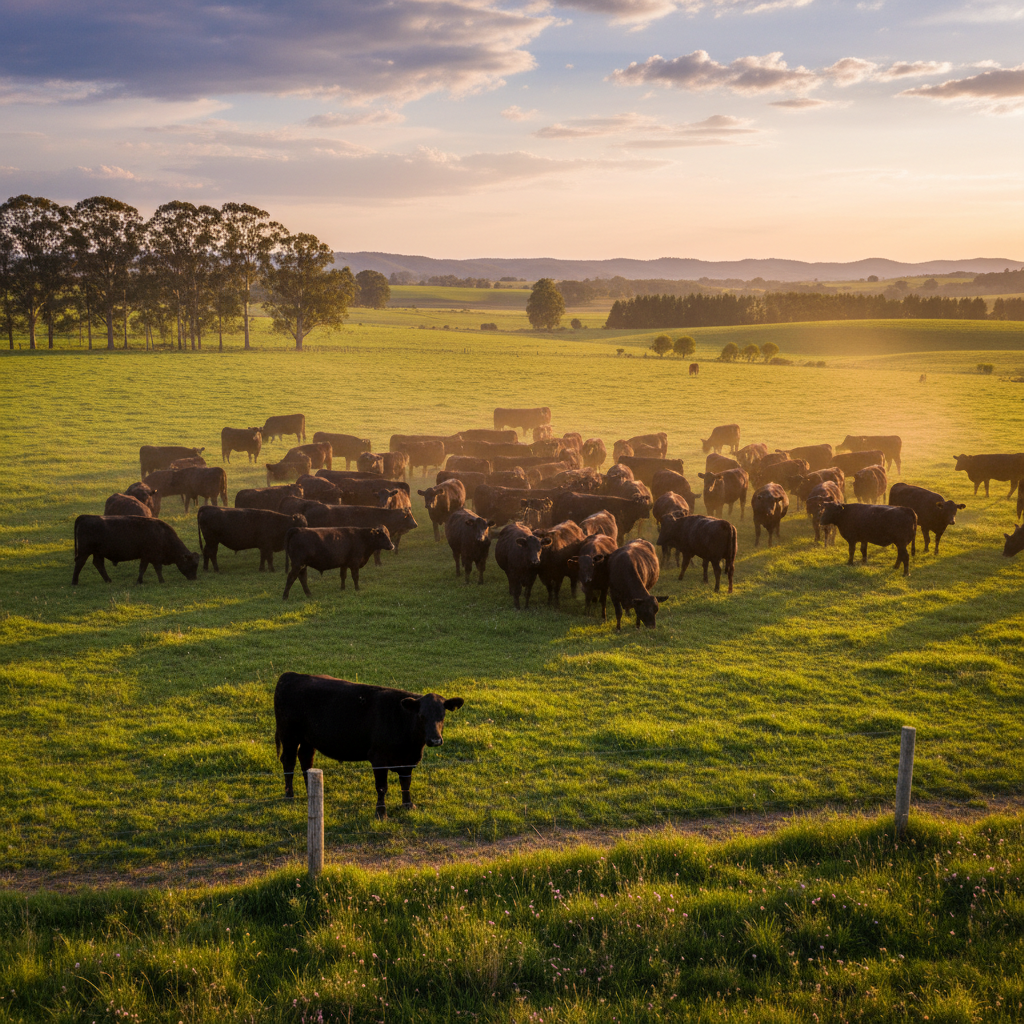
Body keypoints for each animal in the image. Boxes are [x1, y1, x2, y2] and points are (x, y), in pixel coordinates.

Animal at [273, 672, 464, 817]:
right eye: (421, 716)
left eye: (442, 715)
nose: (435, 740)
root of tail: (291, 675)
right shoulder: (378, 758)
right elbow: (382, 787)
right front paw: (381, 813)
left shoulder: (408, 760)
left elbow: (406, 783)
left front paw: (408, 805)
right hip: (289, 735)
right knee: (289, 761)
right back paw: (289, 795)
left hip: (308, 738)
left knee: (306, 760)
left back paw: (311, 793)